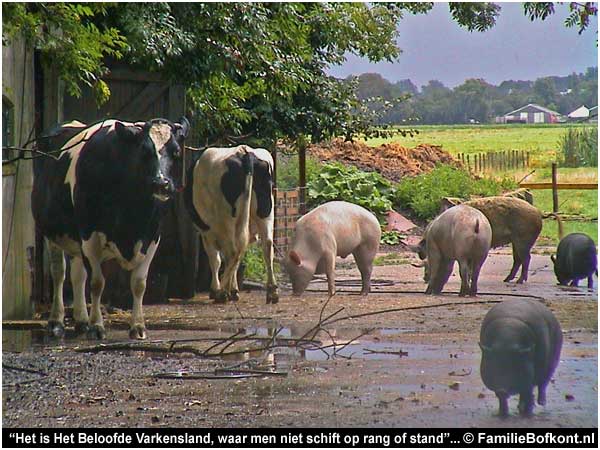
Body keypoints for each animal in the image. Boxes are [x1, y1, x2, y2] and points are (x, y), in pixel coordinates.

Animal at [31, 118, 190, 340]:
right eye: (144, 150)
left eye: (176, 151)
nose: (161, 183)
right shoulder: (88, 235)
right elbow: (97, 283)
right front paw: (97, 326)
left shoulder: (152, 237)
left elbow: (139, 283)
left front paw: (138, 327)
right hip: (51, 232)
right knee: (59, 273)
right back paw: (56, 323)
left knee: (77, 275)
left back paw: (81, 321)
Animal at [185, 146, 278, 304]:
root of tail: (244, 151)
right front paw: (233, 290)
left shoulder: (206, 232)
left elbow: (216, 260)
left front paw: (217, 289)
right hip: (265, 213)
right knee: (266, 245)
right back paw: (272, 292)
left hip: (226, 220)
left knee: (233, 251)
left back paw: (221, 292)